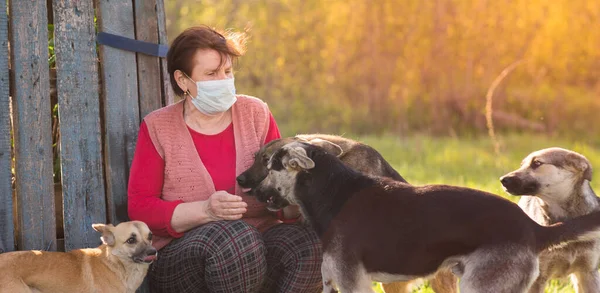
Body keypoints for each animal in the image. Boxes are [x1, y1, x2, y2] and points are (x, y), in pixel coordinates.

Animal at [256, 140, 600, 290]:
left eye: (270, 167)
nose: (252, 191)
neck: (331, 191)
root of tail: (532, 228)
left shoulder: (354, 283)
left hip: (480, 286)